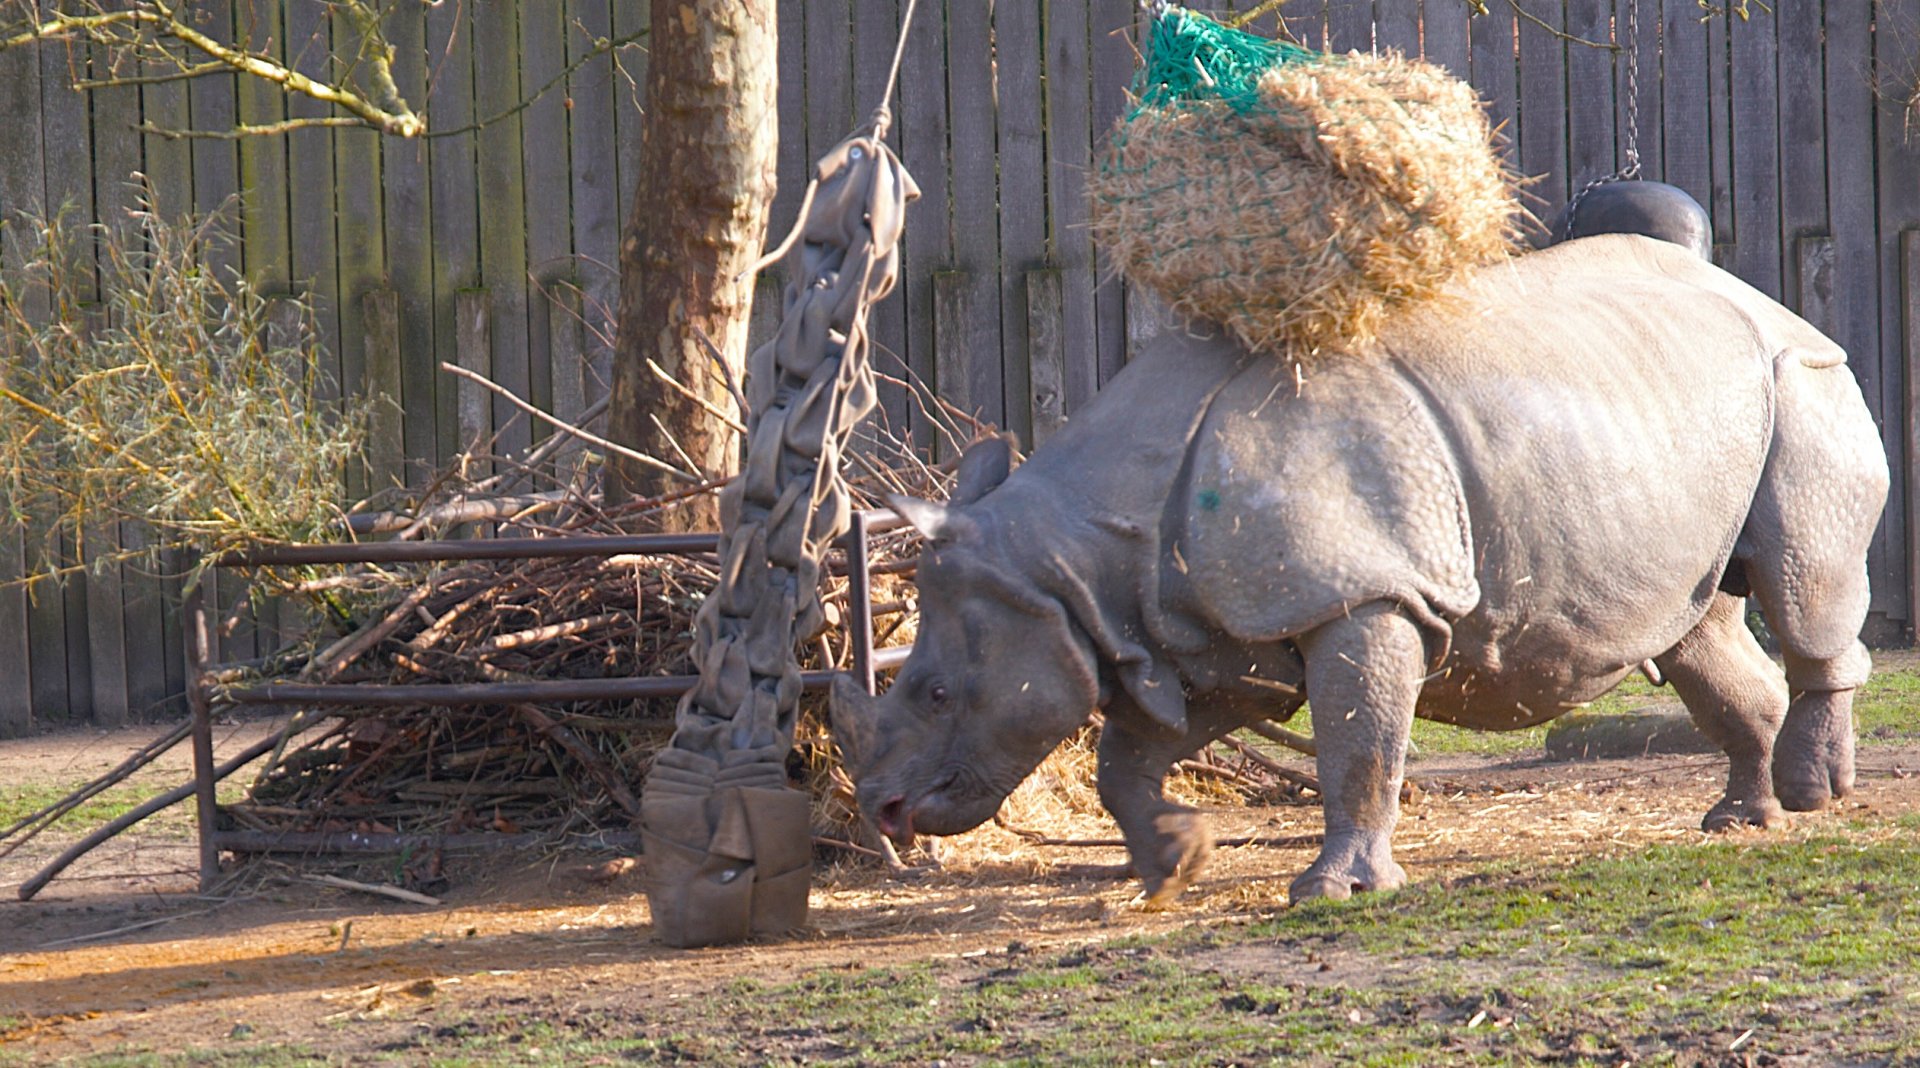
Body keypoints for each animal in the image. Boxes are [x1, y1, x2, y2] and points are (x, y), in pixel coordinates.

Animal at [831, 234, 1889, 905]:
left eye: (934, 692)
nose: (884, 810)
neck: (1074, 554)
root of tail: (1771, 299)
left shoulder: (1361, 593)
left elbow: (1359, 743)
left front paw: (1331, 893)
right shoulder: (1199, 632)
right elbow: (1124, 757)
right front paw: (1177, 861)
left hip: (1809, 379)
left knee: (1799, 581)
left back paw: (1810, 794)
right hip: (1656, 414)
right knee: (1697, 624)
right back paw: (1741, 819)